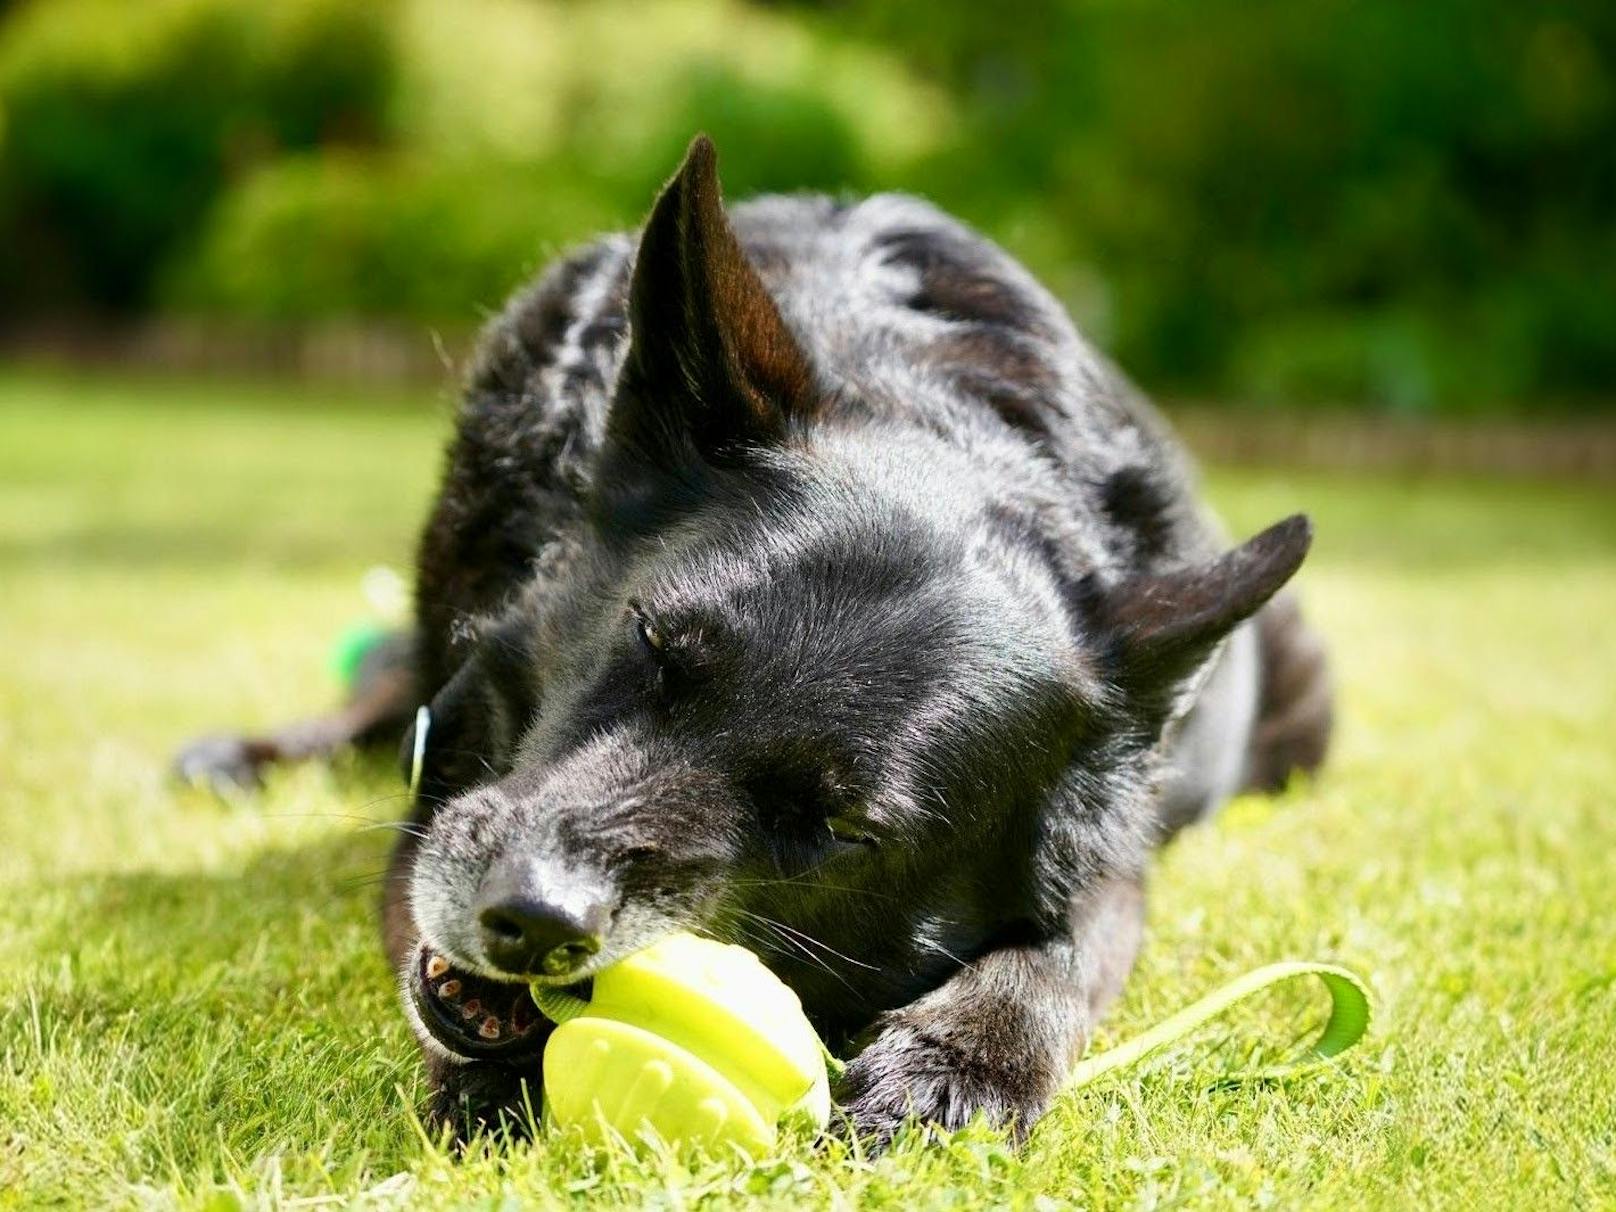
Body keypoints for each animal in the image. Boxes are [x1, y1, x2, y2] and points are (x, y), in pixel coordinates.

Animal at [180, 139, 1338, 1150]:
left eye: (842, 828)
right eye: (653, 642)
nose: (533, 918)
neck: (924, 396)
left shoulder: (1115, 864)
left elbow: (1060, 949)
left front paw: (962, 1056)